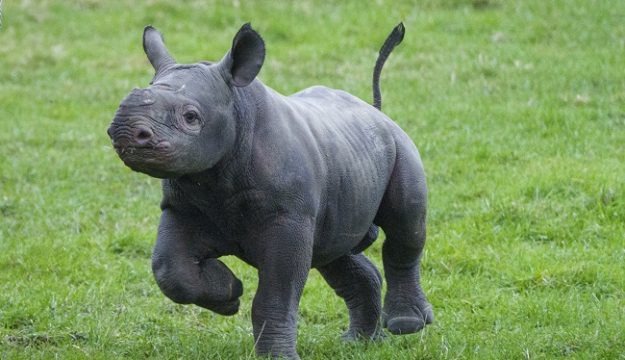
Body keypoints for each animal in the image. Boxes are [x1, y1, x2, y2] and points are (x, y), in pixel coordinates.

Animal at [107, 23, 432, 360]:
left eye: (191, 117)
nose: (124, 130)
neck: (236, 109)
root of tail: (376, 112)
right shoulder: (182, 207)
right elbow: (170, 269)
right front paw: (229, 294)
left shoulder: (288, 216)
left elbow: (276, 292)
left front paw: (275, 354)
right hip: (348, 159)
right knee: (334, 253)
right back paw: (359, 343)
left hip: (399, 145)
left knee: (405, 225)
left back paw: (405, 325)